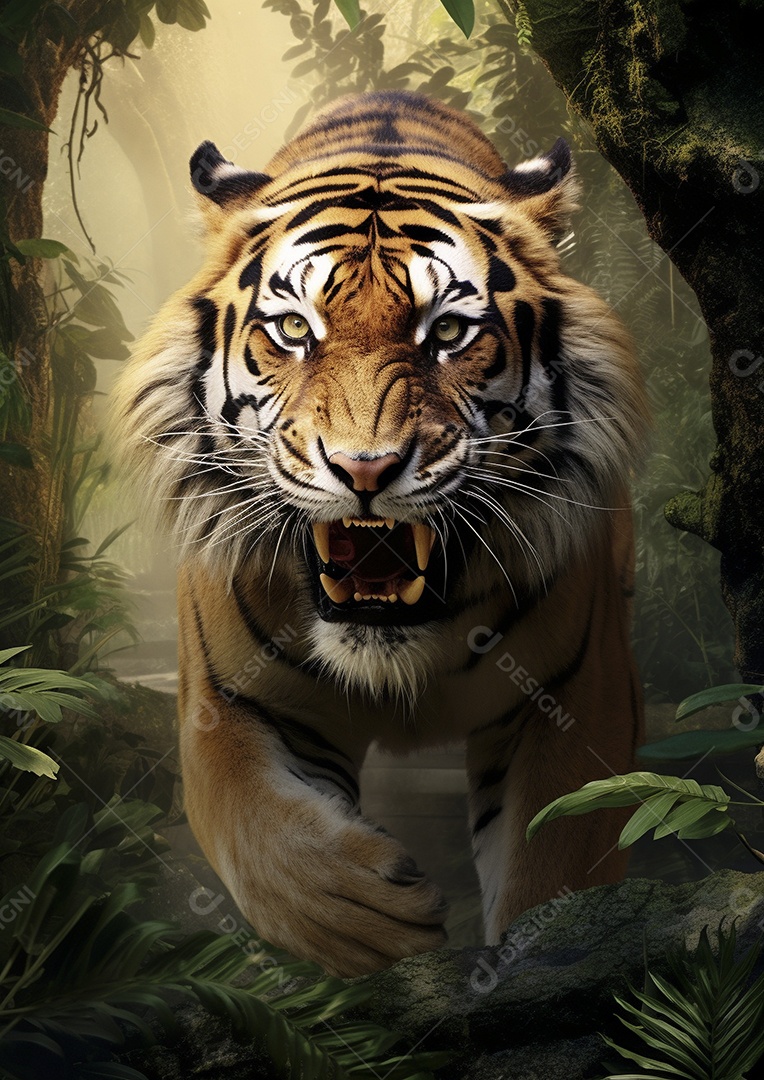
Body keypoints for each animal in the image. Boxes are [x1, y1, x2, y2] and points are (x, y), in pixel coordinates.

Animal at [112, 90, 648, 978]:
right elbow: (256, 830)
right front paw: (368, 917)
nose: (365, 467)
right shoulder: (227, 705)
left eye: (449, 333)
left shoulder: (574, 701)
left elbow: (555, 868)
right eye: (295, 331)